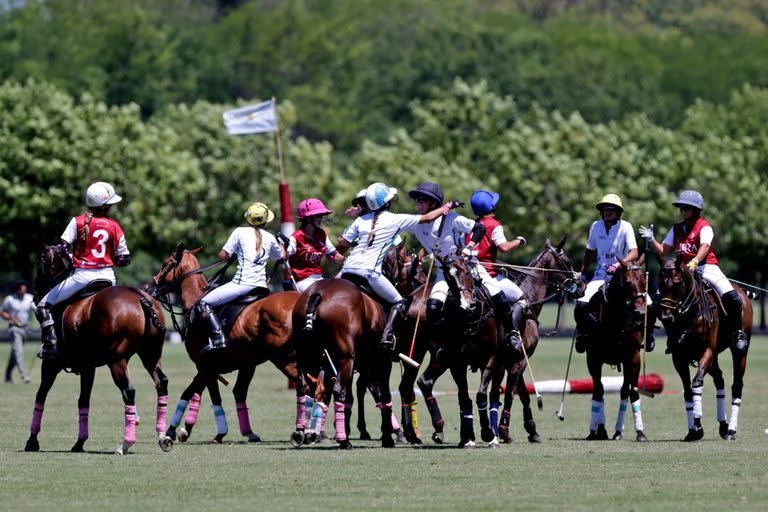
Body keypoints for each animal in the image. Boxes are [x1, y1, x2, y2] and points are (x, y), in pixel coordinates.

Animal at [26, 245, 170, 456]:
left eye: (40, 262)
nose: (36, 294)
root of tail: (142, 299)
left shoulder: (51, 364)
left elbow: (40, 397)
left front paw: (32, 441)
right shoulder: (88, 367)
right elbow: (83, 401)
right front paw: (79, 443)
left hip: (117, 360)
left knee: (128, 390)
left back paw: (125, 443)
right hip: (150, 354)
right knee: (162, 382)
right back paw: (162, 437)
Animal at [148, 244, 304, 444]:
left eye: (166, 264)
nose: (150, 287)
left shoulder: (205, 366)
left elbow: (196, 394)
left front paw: (174, 431)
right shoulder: (243, 365)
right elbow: (233, 393)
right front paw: (247, 432)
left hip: (284, 359)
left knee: (308, 384)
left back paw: (305, 432)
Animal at [584, 258, 648, 442]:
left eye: (644, 280)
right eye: (627, 283)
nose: (640, 313)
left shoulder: (633, 357)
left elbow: (631, 391)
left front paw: (639, 432)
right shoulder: (593, 358)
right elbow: (598, 391)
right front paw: (596, 430)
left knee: (624, 390)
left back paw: (618, 430)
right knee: (601, 390)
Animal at [656, 258, 752, 442]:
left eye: (677, 283)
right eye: (659, 283)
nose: (666, 317)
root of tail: (741, 290)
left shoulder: (706, 351)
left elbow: (696, 384)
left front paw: (698, 427)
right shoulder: (678, 357)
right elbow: (687, 392)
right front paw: (692, 430)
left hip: (739, 351)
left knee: (737, 386)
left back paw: (731, 430)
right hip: (714, 358)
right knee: (720, 379)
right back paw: (723, 426)